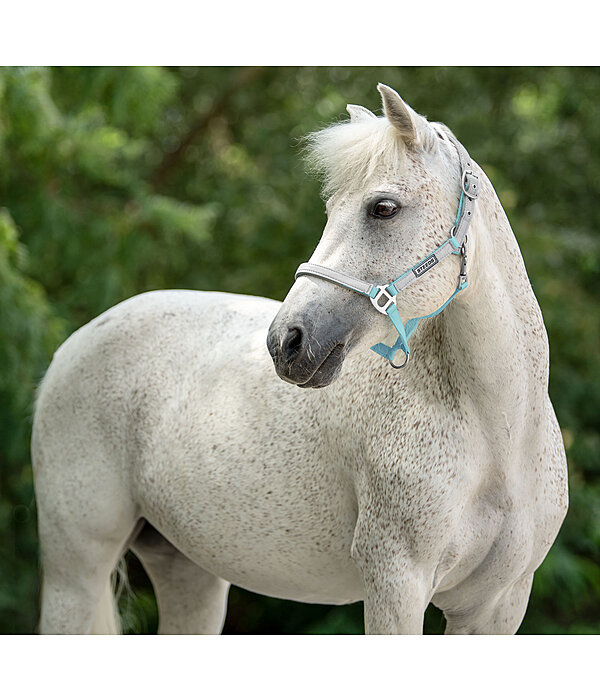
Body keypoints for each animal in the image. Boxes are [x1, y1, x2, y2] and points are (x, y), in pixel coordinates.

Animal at [31, 83, 568, 636]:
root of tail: (75, 345)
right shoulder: (396, 588)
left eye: (384, 208)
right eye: (331, 209)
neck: (498, 436)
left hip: (188, 572)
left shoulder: (496, 606)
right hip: (76, 571)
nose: (286, 341)